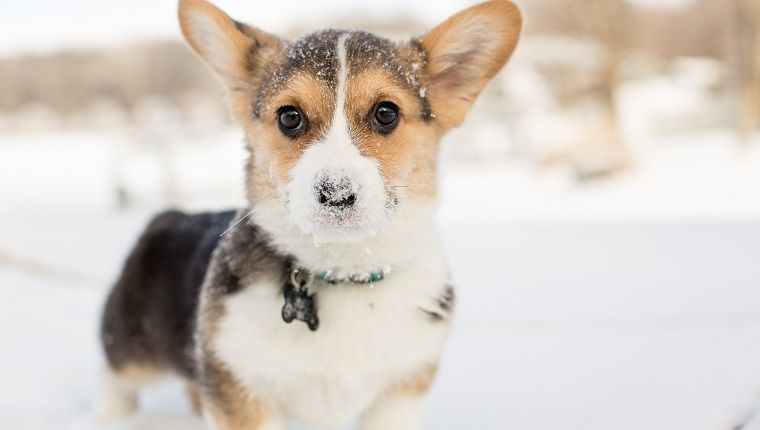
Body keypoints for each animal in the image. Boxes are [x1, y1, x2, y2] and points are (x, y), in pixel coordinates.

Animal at [96, 0, 524, 426]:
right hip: (135, 347)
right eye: (289, 116)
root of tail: (170, 216)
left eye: (386, 113)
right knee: (115, 373)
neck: (343, 270)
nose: (336, 193)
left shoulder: (401, 391)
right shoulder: (240, 387)